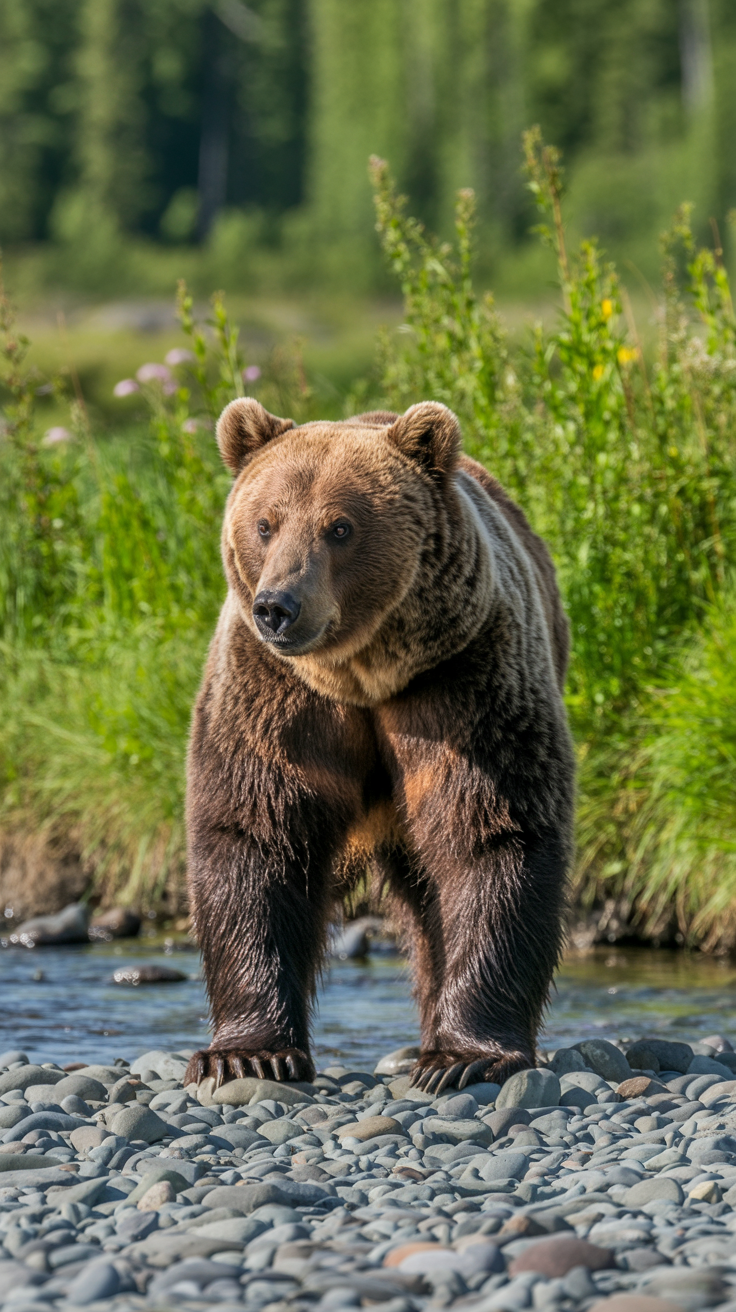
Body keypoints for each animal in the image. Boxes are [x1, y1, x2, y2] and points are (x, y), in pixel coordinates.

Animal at [184, 398, 575, 1095]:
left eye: (340, 527)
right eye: (265, 523)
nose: (278, 607)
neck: (360, 676)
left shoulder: (462, 680)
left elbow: (494, 834)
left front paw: (466, 1056)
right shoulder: (273, 695)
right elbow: (253, 837)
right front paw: (249, 1053)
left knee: (431, 908)